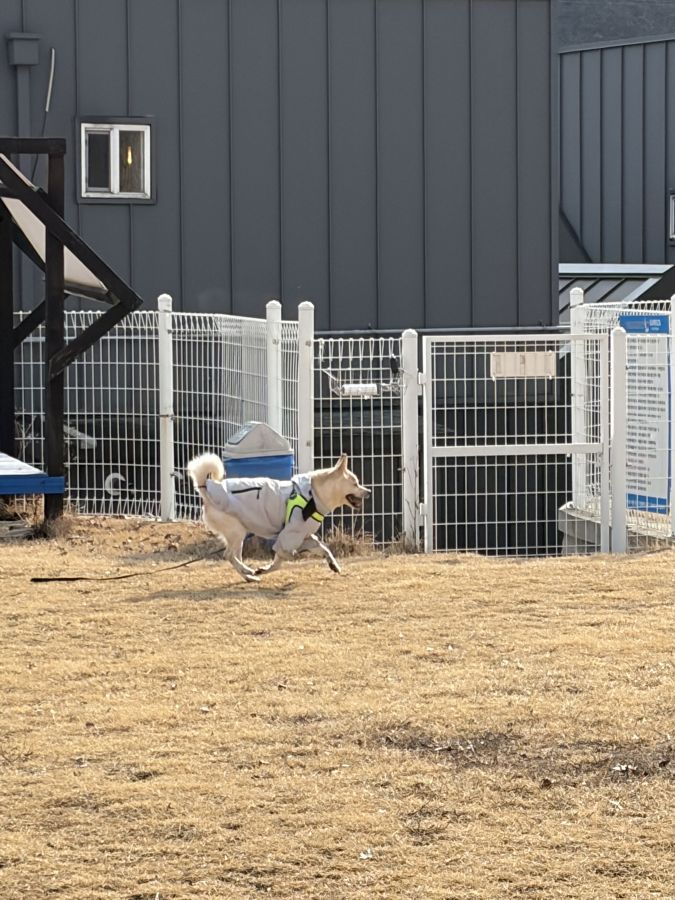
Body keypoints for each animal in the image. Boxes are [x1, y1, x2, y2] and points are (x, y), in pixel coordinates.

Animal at [187, 452, 370, 582]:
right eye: (355, 483)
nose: (368, 491)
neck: (313, 496)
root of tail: (207, 489)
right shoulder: (289, 535)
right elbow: (281, 558)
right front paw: (282, 561)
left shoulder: (305, 536)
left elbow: (324, 549)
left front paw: (333, 565)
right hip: (237, 531)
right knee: (228, 555)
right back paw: (248, 571)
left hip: (238, 536)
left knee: (234, 557)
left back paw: (249, 576)